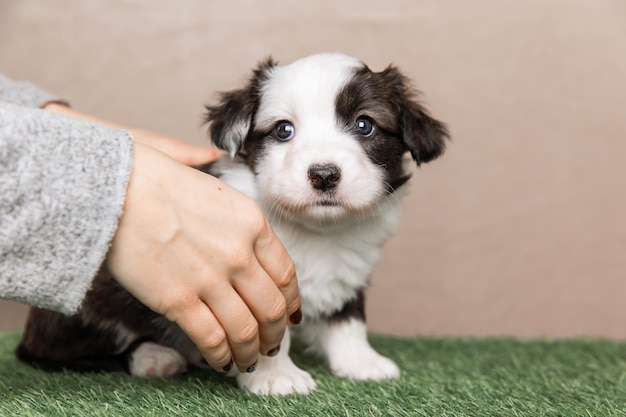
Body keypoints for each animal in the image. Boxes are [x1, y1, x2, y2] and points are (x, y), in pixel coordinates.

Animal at [17, 53, 446, 394]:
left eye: (364, 125)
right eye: (283, 130)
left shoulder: (349, 272)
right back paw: (153, 356)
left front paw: (360, 362)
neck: (316, 231)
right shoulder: (253, 286)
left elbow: (348, 319)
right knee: (54, 354)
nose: (324, 174)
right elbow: (271, 338)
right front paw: (276, 377)